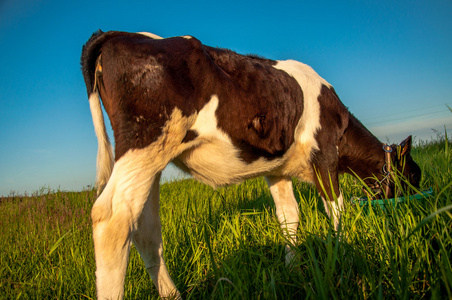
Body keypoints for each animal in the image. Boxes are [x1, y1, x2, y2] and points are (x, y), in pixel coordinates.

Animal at [80, 29, 420, 298]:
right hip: (146, 141)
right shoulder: (325, 155)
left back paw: (173, 295)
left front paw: (292, 269)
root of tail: (115, 33)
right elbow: (337, 213)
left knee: (145, 230)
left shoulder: (277, 170)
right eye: (414, 174)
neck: (343, 125)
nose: (415, 205)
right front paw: (346, 259)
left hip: (151, 162)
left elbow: (289, 217)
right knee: (112, 219)